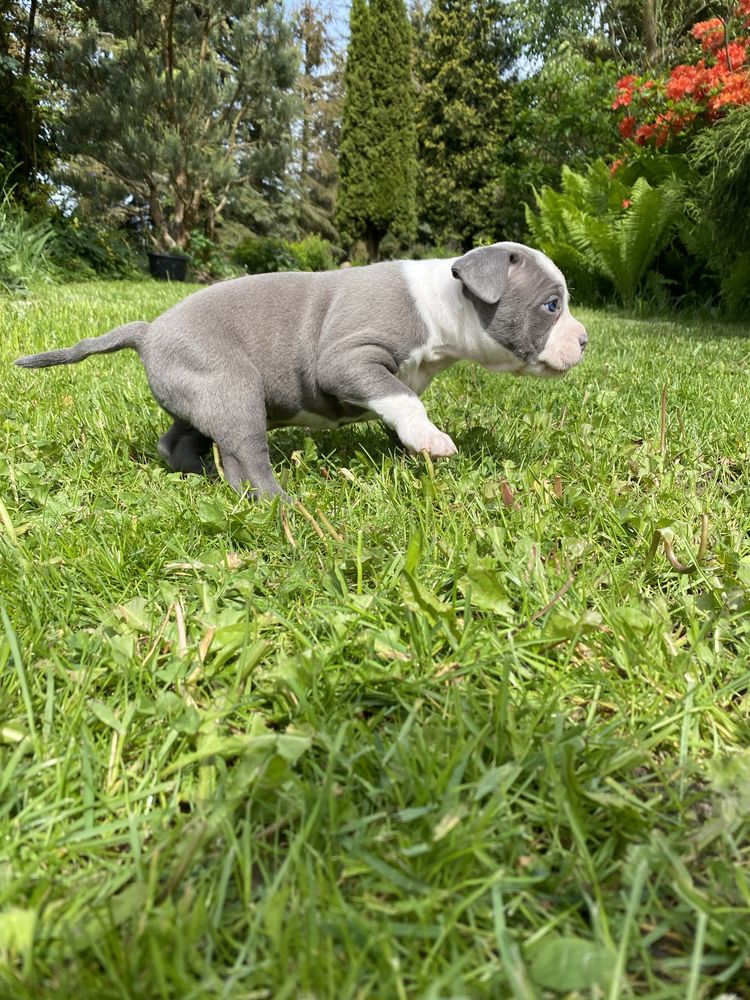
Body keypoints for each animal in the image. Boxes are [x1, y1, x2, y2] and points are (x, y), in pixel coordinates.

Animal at [13, 238, 588, 496]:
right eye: (550, 305)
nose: (584, 340)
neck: (445, 303)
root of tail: (149, 330)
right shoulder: (346, 360)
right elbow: (403, 398)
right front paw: (431, 440)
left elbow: (400, 403)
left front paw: (410, 447)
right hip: (235, 387)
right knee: (247, 457)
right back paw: (277, 502)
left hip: (198, 390)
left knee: (178, 439)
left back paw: (200, 472)